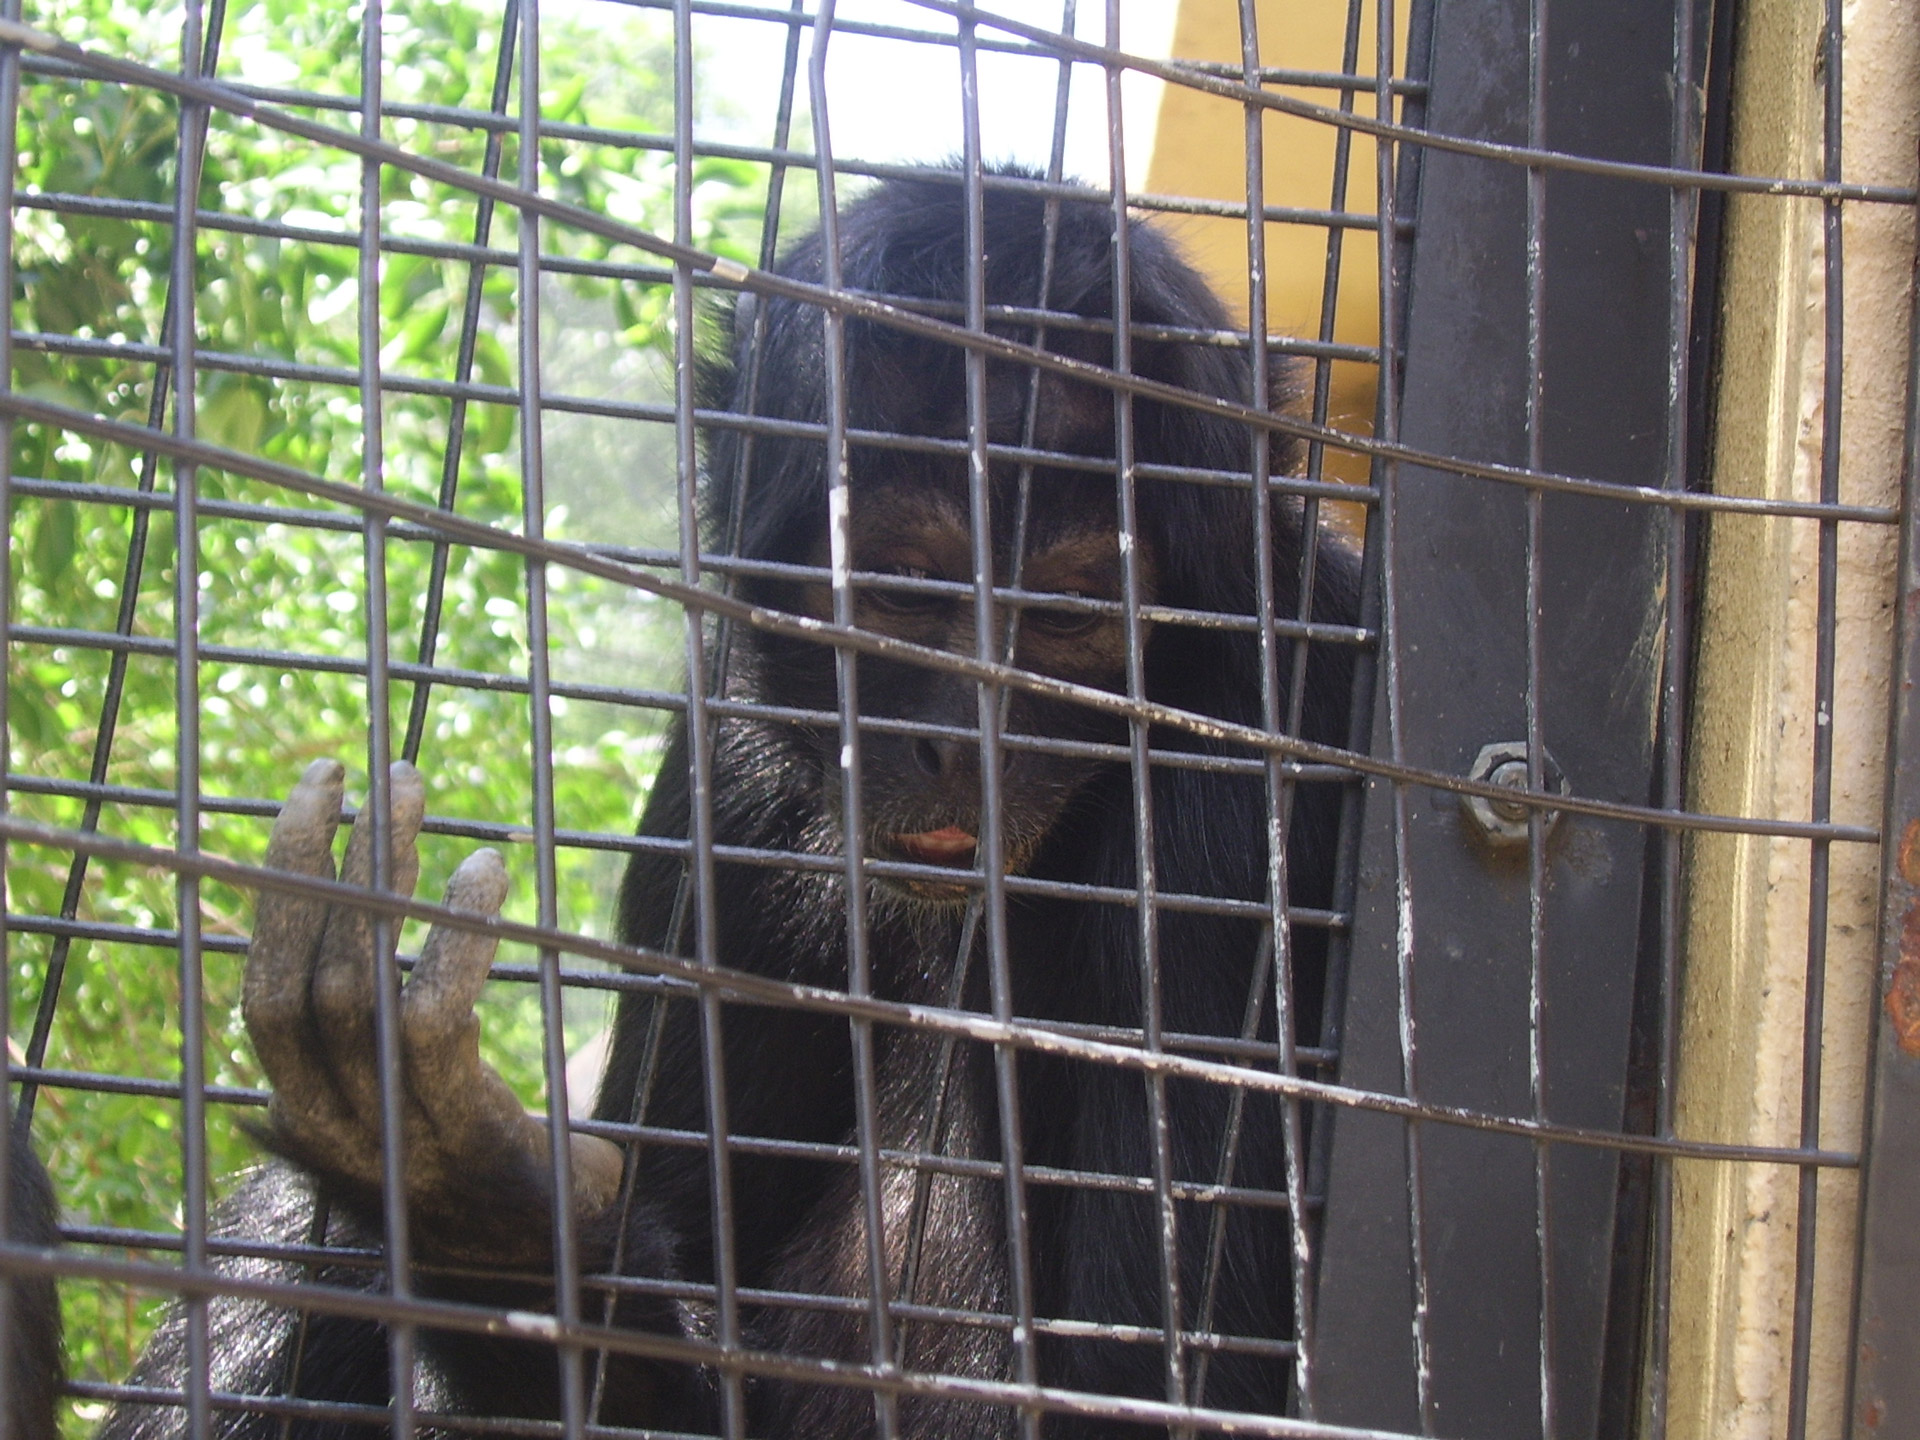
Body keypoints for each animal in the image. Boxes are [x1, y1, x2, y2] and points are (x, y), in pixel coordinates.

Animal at [105, 171, 1359, 1440]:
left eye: (1061, 619)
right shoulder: (732, 767)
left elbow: (1159, 1397)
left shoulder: (1229, 797)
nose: (963, 736)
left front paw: (489, 1218)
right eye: (903, 592)